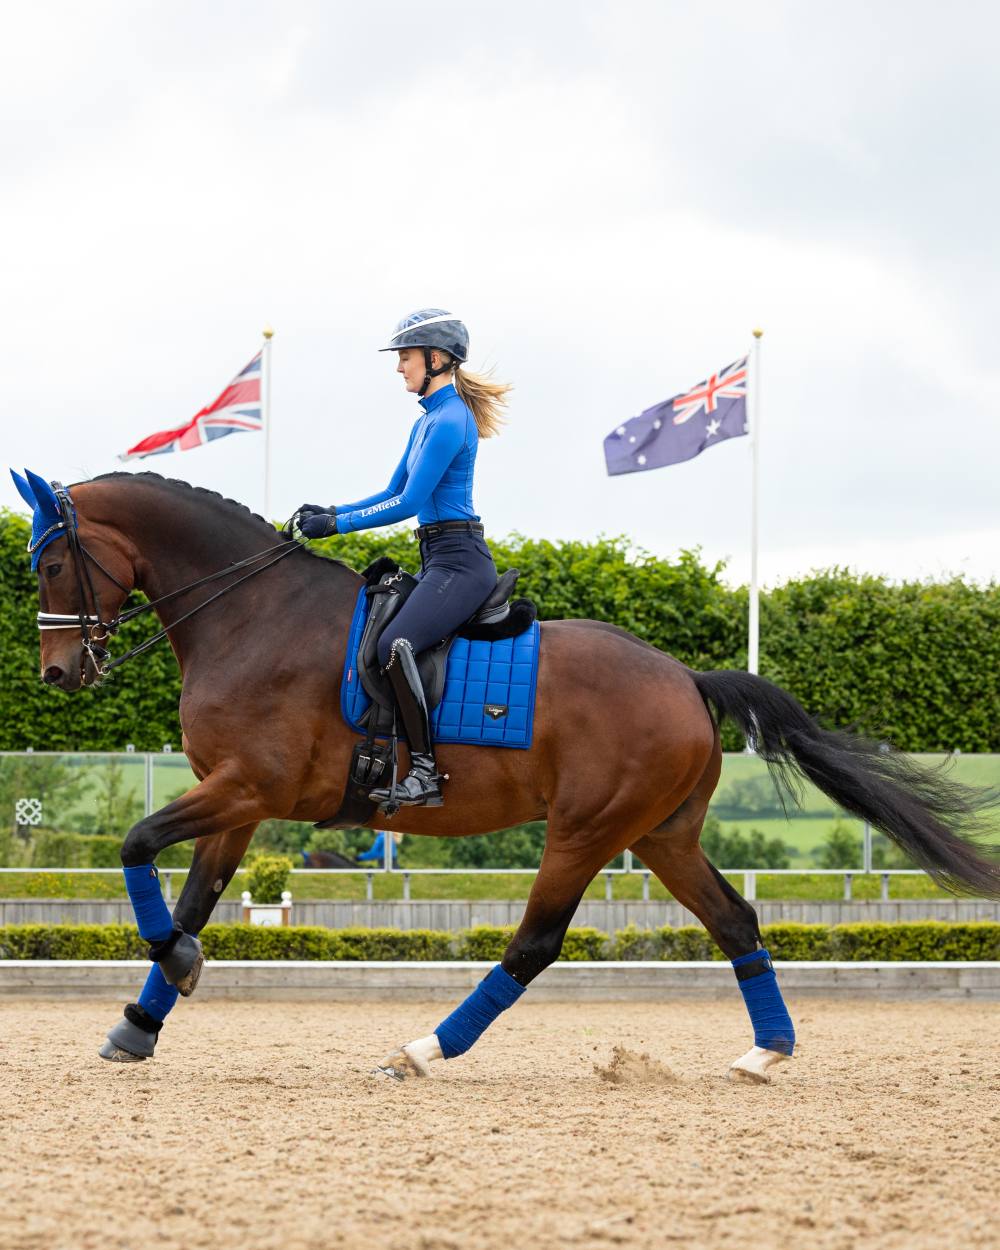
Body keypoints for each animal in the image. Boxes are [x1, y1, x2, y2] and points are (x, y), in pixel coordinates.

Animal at [17, 472, 1000, 1080]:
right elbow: (189, 898)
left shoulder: (247, 788)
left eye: (54, 561)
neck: (253, 614)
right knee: (735, 921)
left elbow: (136, 845)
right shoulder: (237, 803)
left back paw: (422, 1051)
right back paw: (767, 1052)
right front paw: (140, 1022)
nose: (59, 675)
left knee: (534, 944)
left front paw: (179, 971)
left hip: (586, 831)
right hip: (662, 836)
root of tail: (686, 677)